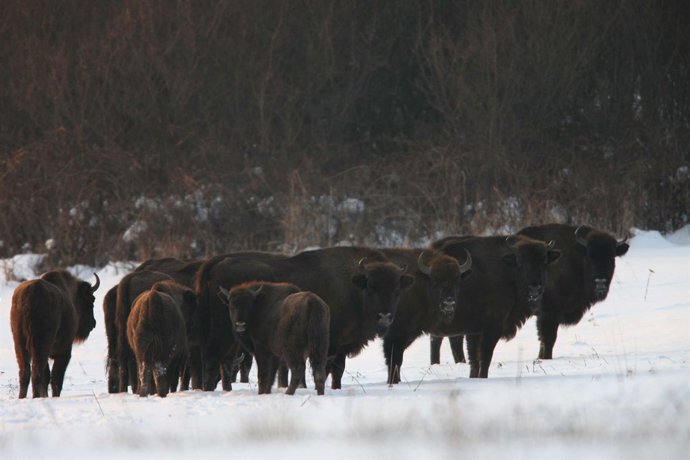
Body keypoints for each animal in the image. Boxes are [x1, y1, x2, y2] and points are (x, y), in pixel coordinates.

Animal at [11, 270, 100, 398]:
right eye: (91, 299)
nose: (93, 323)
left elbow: (47, 376)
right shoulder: (64, 352)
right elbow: (56, 378)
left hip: (20, 344)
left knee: (25, 372)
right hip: (40, 346)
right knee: (37, 373)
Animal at [196, 246, 413, 391]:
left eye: (397, 289)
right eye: (371, 287)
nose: (385, 316)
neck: (352, 286)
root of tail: (213, 264)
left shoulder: (340, 346)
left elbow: (338, 370)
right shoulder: (331, 343)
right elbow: (329, 368)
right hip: (224, 333)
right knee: (213, 359)